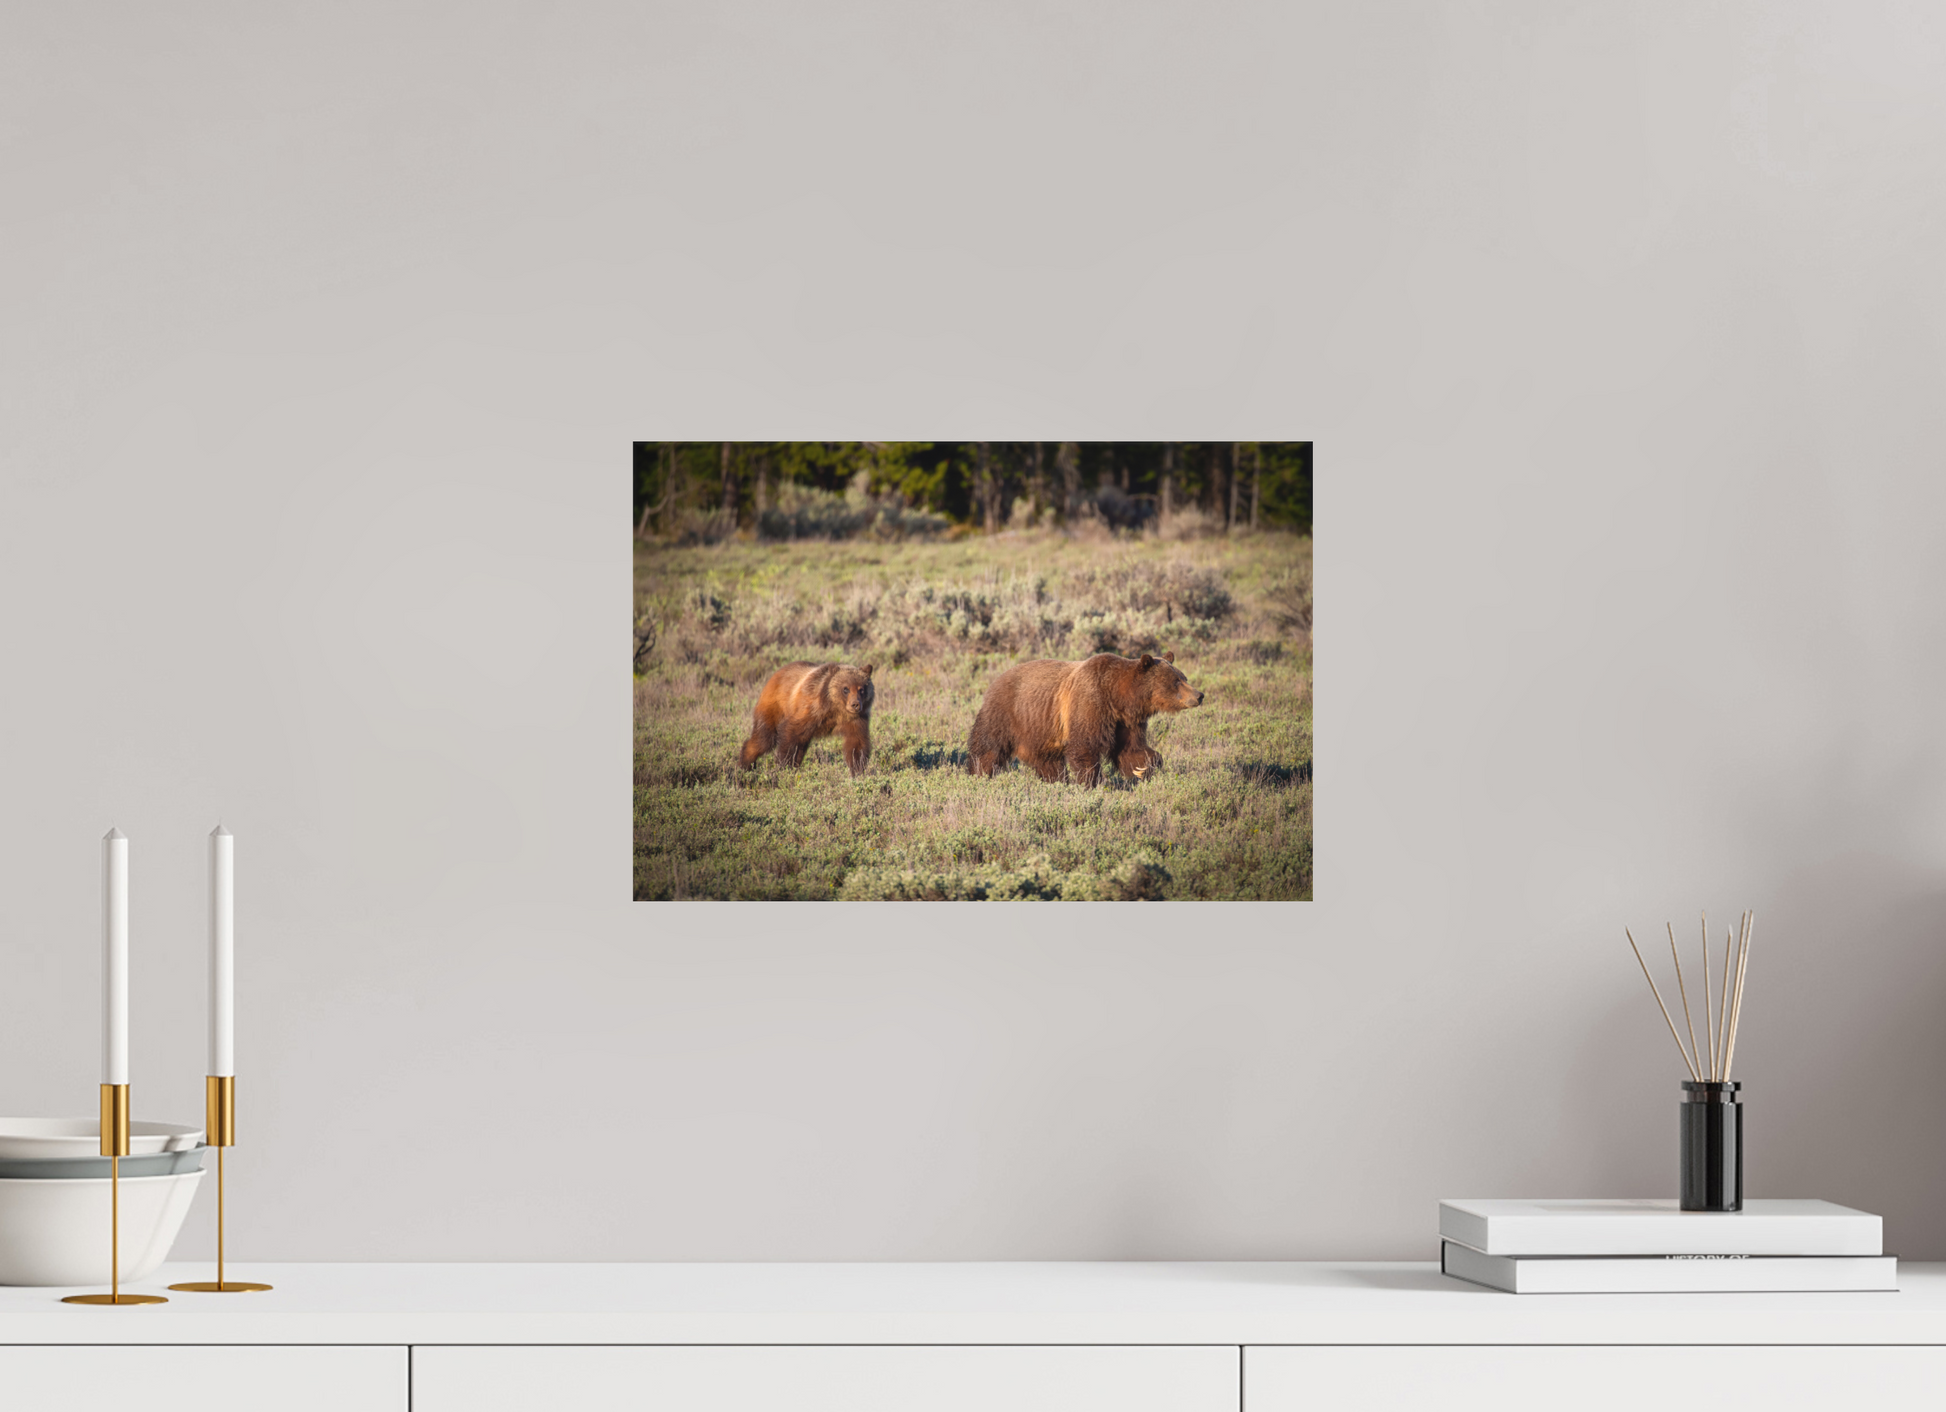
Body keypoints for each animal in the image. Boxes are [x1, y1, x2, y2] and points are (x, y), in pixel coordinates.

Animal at [738, 661, 875, 776]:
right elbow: (790, 732)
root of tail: (776, 673)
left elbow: (857, 743)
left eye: (861, 689)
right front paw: (784, 766)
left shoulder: (855, 720)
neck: (836, 709)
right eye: (845, 688)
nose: (855, 704)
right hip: (774, 707)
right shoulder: (811, 710)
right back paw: (745, 765)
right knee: (764, 738)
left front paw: (858, 770)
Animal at [966, 651, 1204, 788]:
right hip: (1007, 712)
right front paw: (1094, 782)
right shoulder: (1090, 703)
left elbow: (1131, 748)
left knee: (1047, 760)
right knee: (988, 747)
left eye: (1184, 677)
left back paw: (1056, 782)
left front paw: (1144, 766)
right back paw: (978, 774)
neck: (1118, 697)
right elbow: (1084, 747)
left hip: (1040, 727)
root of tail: (996, 679)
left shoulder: (1126, 722)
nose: (1199, 695)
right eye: (1176, 681)